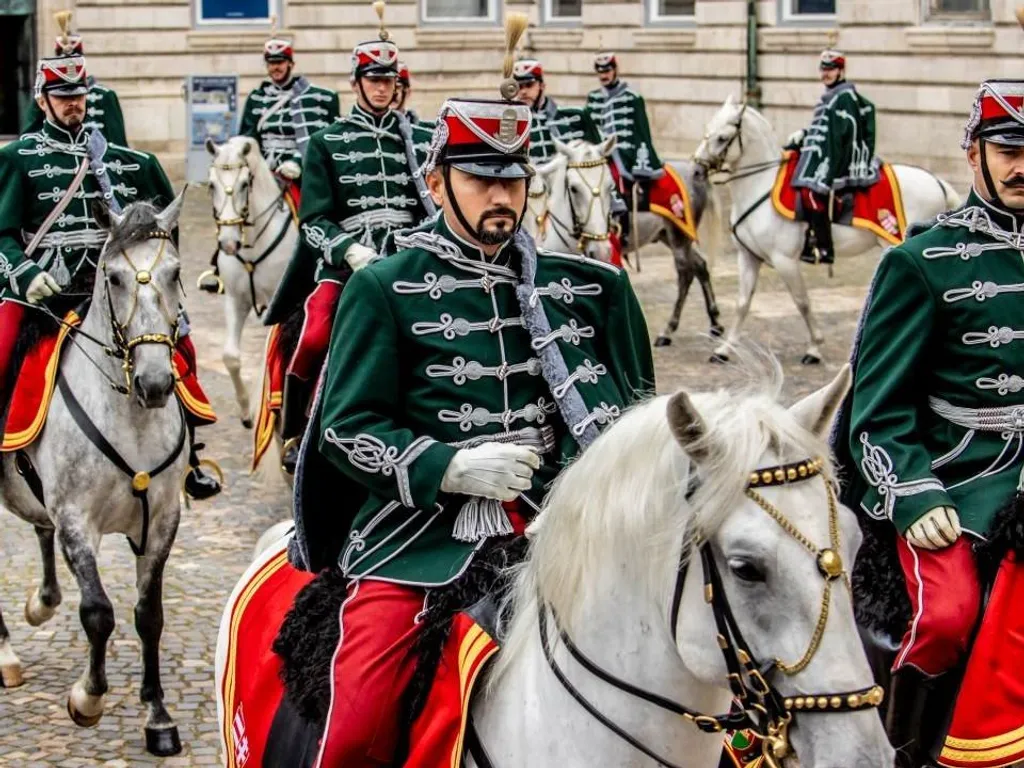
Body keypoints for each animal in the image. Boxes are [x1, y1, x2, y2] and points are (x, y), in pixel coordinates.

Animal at [0, 196, 192, 757]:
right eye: (113, 277)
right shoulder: (76, 522)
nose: (155, 382)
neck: (130, 416)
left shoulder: (163, 521)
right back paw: (6, 654)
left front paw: (158, 717)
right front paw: (88, 697)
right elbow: (98, 612)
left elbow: (148, 615)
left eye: (174, 273)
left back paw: (42, 603)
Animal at [201, 137, 294, 428]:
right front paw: (246, 411)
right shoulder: (235, 299)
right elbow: (230, 357)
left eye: (244, 184)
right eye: (211, 185)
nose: (229, 243)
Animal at [696, 96, 958, 366]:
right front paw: (725, 349)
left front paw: (814, 347)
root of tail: (937, 182)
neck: (761, 185)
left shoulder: (784, 260)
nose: (698, 167)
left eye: (722, 138)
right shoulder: (748, 256)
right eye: (708, 130)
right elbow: (742, 303)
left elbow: (802, 302)